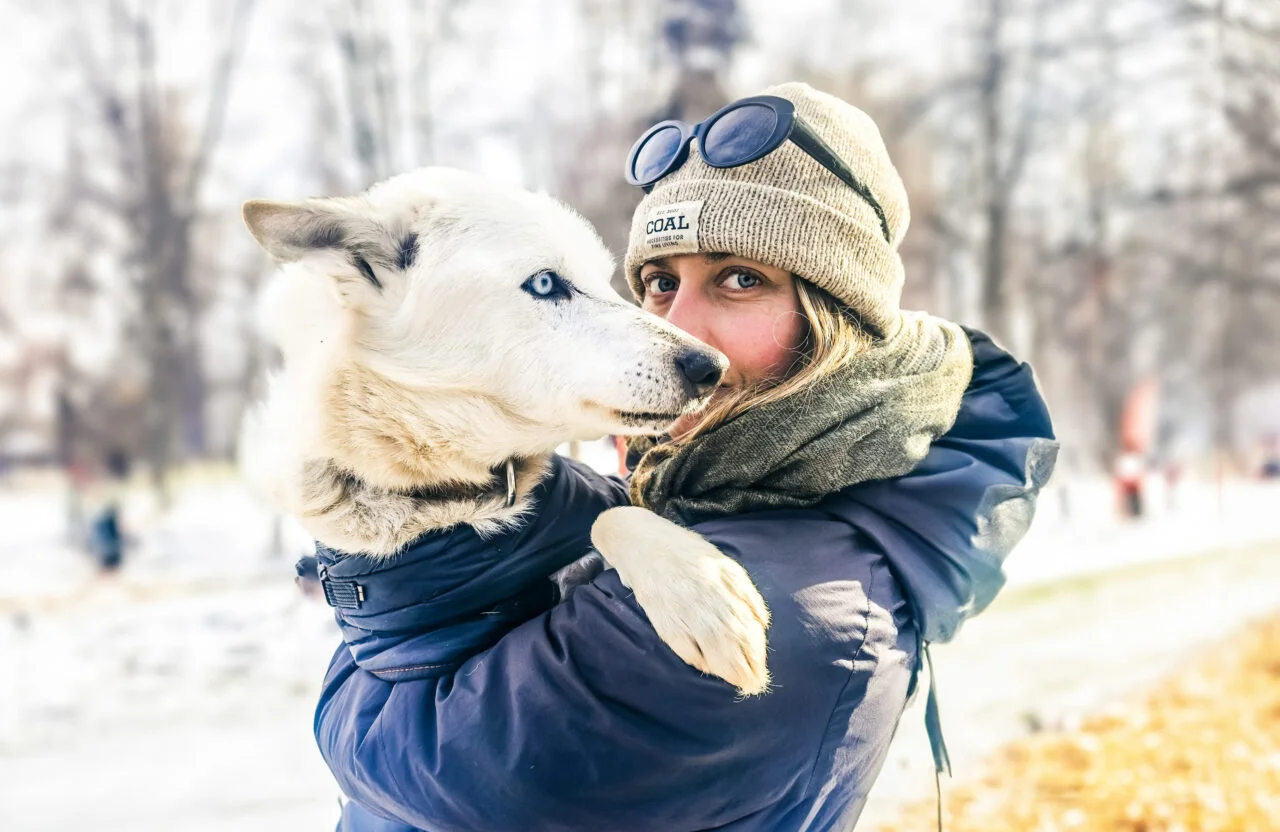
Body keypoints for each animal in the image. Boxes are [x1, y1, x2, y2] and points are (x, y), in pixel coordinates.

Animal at [240, 166, 768, 691]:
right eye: (545, 283)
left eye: (605, 281)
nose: (712, 366)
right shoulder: (421, 655)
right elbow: (604, 518)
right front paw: (700, 592)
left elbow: (607, 514)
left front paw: (698, 585)